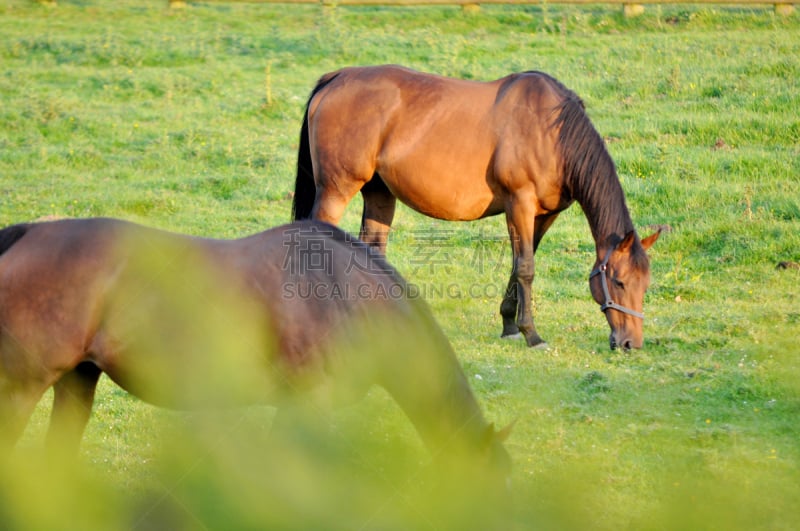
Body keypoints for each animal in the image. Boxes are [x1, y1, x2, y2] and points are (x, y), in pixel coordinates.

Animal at [0, 218, 510, 484]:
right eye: (493, 487)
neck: (343, 292)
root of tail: (26, 235)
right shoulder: (310, 402)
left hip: (76, 382)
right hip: (21, 390)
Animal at [290, 65, 660, 350]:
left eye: (645, 285)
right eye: (620, 282)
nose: (631, 343)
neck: (551, 134)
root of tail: (337, 78)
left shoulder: (544, 215)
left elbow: (519, 264)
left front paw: (510, 325)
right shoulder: (519, 203)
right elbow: (525, 268)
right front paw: (531, 334)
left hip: (379, 194)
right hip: (337, 190)